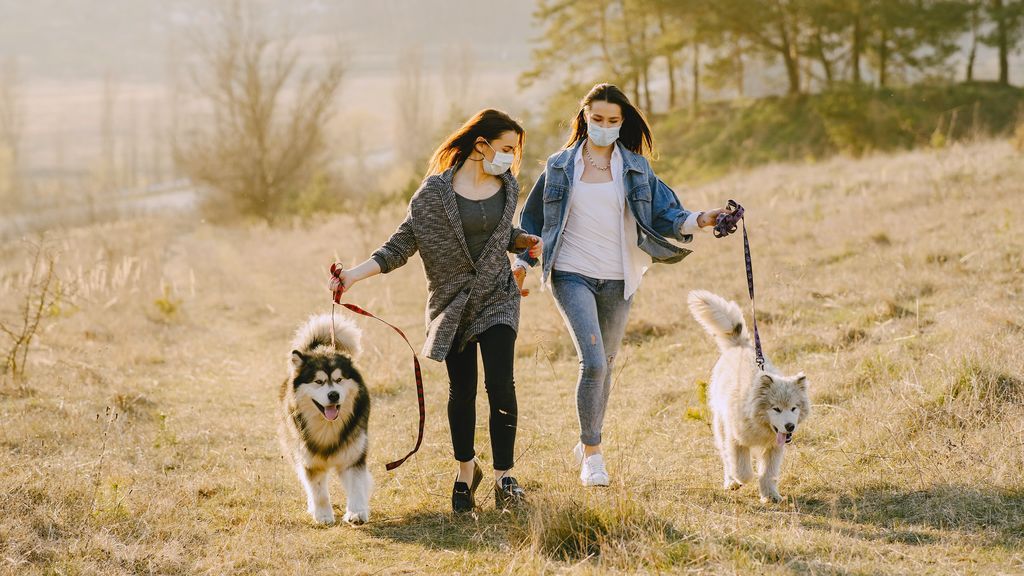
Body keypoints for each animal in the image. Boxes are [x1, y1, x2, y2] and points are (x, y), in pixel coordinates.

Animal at [280, 311, 372, 522]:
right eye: (318, 382)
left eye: (339, 379)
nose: (333, 395)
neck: (327, 426)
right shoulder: (308, 459)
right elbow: (318, 491)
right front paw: (322, 515)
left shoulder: (353, 455)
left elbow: (356, 486)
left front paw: (356, 513)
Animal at [688, 289, 806, 500]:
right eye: (776, 409)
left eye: (794, 408)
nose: (790, 426)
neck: (758, 422)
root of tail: (739, 345)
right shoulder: (736, 440)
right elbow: (742, 470)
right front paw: (740, 480)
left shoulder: (774, 447)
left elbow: (768, 472)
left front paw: (770, 496)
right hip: (721, 425)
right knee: (726, 458)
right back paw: (730, 482)